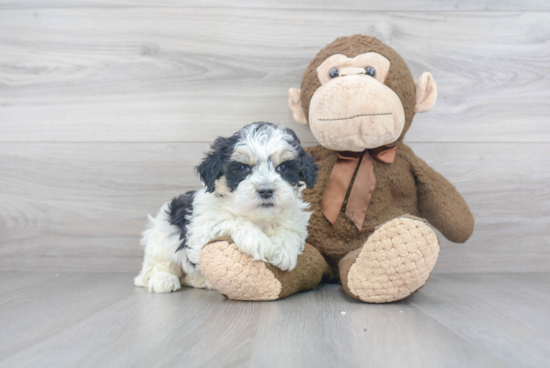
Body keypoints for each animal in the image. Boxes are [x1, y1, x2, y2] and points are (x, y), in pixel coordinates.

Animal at [135, 123, 320, 294]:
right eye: (243, 168)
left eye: (283, 167)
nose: (266, 190)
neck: (258, 217)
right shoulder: (201, 230)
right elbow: (230, 219)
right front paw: (259, 242)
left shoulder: (294, 217)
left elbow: (290, 229)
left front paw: (283, 250)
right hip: (164, 233)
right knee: (159, 263)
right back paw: (163, 280)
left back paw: (201, 281)